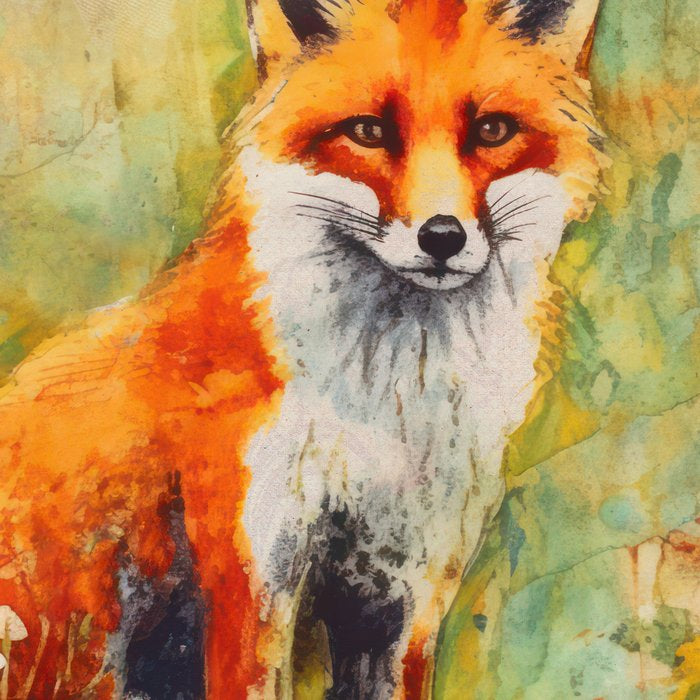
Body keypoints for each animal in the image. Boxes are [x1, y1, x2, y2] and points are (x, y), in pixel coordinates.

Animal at [0, 0, 608, 697]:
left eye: (492, 130)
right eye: (368, 131)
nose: (442, 237)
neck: (384, 409)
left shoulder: (406, 593)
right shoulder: (253, 577)